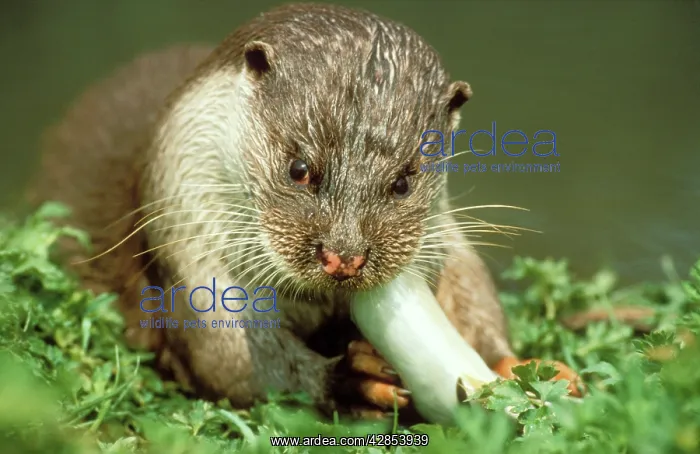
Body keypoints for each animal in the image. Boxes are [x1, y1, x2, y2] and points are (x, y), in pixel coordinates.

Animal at [27, 3, 582, 419]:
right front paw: (352, 379)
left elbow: (475, 300)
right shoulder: (188, 255)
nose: (344, 256)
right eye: (298, 168)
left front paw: (530, 370)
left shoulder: (446, 239)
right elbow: (234, 365)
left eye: (403, 181)